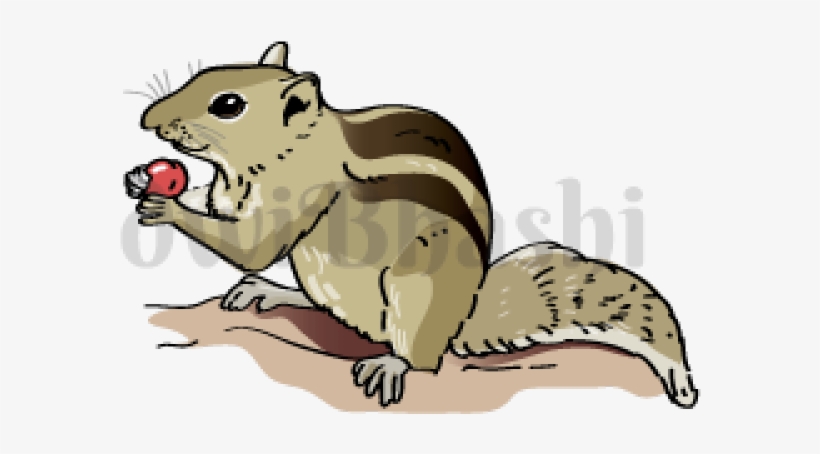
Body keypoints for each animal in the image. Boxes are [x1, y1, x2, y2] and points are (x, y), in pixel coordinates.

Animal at [129, 41, 698, 408]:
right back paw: (270, 293)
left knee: (420, 357)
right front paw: (142, 179)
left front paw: (165, 208)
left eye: (228, 105)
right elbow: (218, 206)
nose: (148, 120)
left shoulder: (298, 197)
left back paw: (391, 365)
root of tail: (462, 318)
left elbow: (251, 245)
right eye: (202, 76)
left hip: (417, 290)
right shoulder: (231, 189)